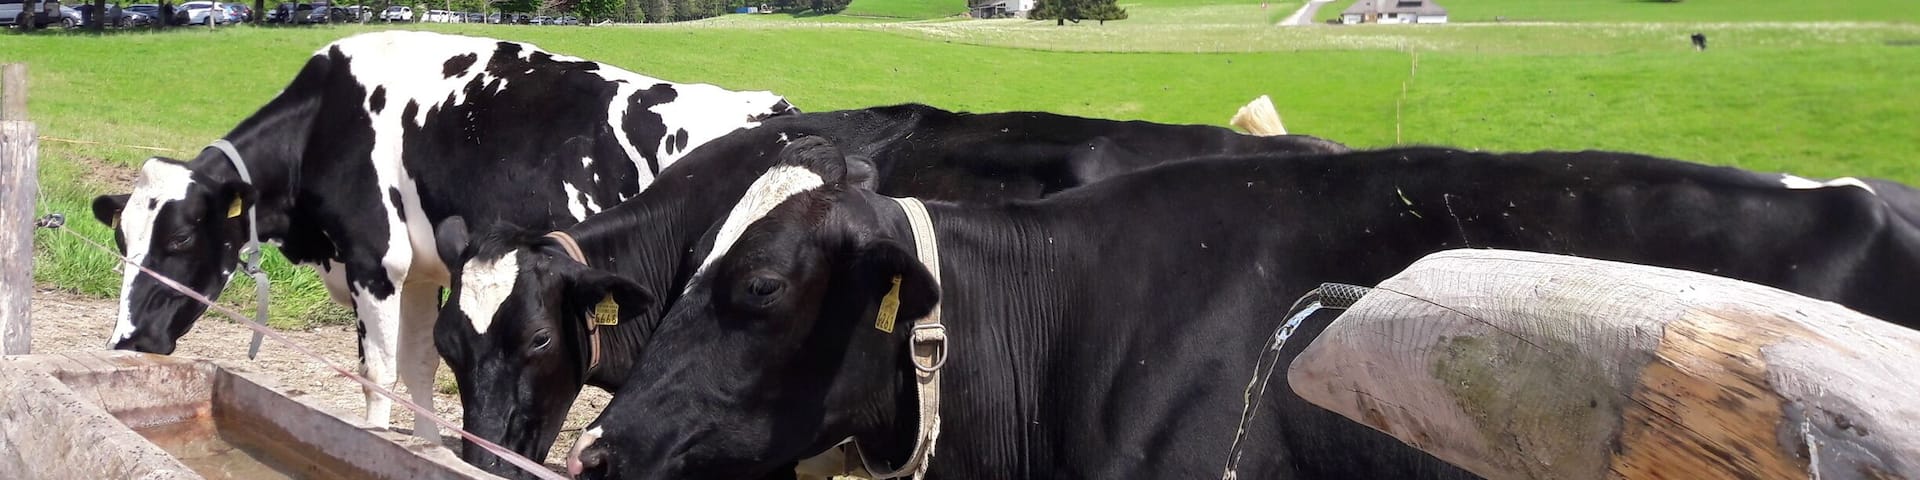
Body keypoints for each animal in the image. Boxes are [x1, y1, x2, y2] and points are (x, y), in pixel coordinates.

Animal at [85, 30, 797, 445]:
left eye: (180, 238)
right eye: (122, 242)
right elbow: (420, 364)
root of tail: (777, 105)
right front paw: (427, 448)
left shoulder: (375, 261)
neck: (325, 125)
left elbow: (377, 372)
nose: (128, 341)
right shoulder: (426, 269)